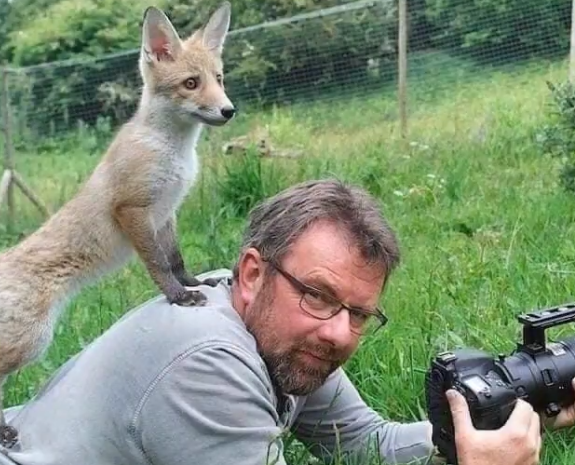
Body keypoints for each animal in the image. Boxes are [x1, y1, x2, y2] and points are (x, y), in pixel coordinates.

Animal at [0, 0, 236, 446]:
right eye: (191, 83)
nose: (229, 110)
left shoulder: (166, 213)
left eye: (218, 79)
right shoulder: (132, 210)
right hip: (31, 341)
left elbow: (176, 260)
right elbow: (159, 265)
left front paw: (195, 282)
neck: (173, 152)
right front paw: (179, 297)